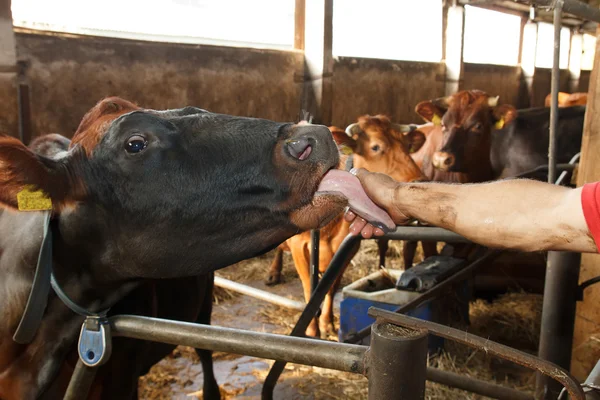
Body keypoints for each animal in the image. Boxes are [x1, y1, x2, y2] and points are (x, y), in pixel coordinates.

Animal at [264, 116, 424, 338]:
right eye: (376, 147)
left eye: (407, 145)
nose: (419, 179)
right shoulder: (299, 248)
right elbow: (308, 288)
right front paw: (312, 329)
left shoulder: (347, 248)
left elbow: (331, 288)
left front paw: (327, 323)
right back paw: (273, 272)